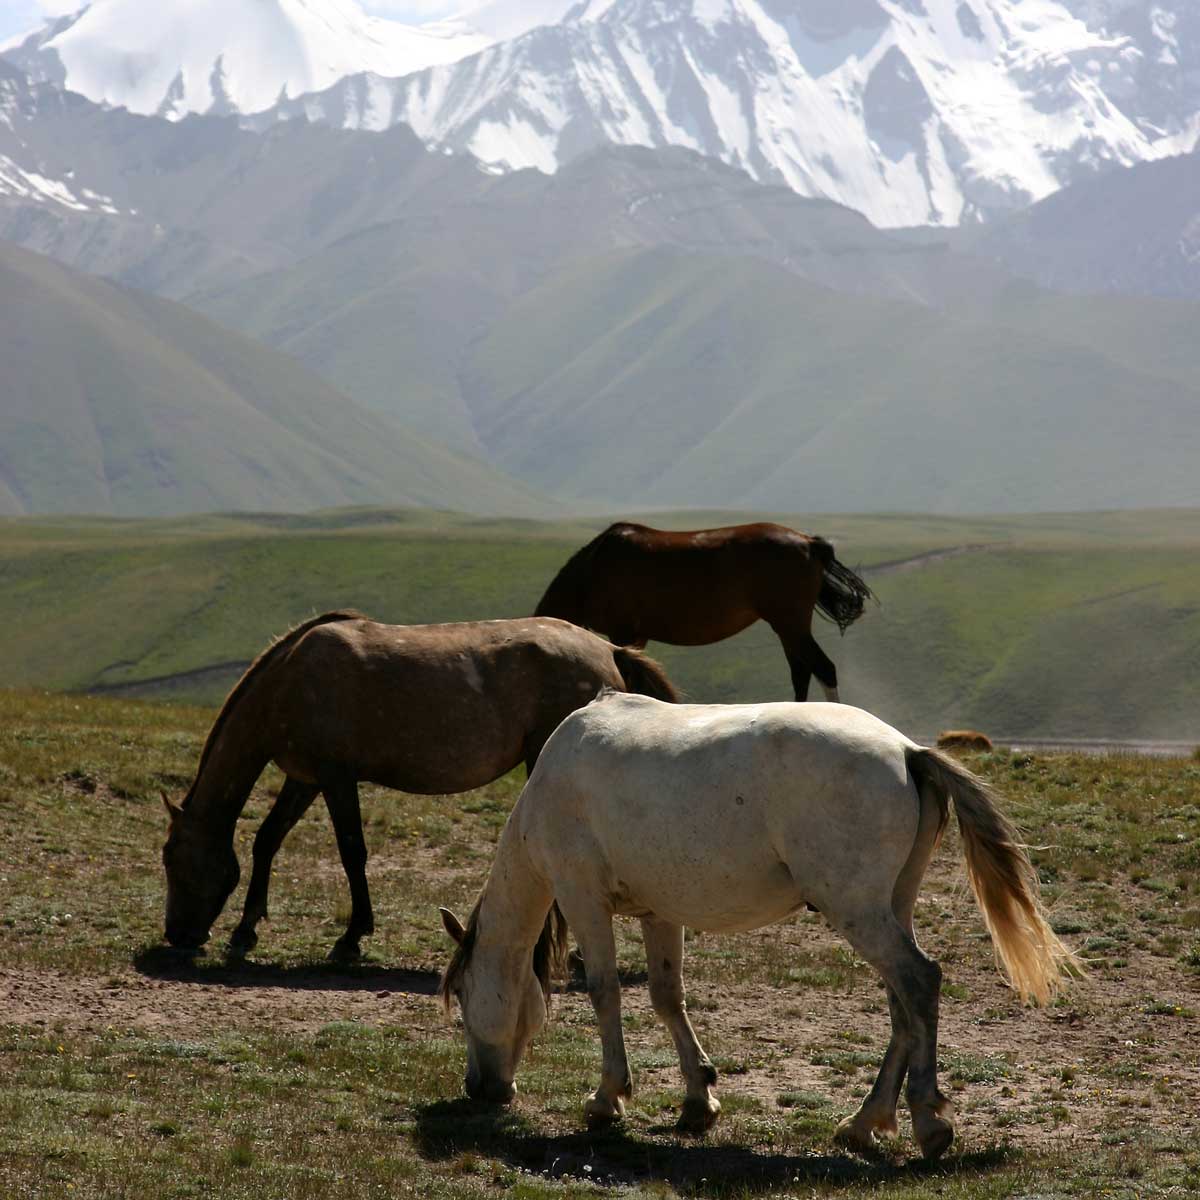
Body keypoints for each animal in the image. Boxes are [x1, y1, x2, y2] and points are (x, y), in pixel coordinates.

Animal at [162, 614, 676, 960]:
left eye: (173, 861)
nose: (176, 936)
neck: (291, 678)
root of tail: (609, 650)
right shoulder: (304, 779)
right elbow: (268, 840)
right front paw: (245, 930)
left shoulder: (336, 778)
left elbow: (352, 851)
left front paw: (351, 938)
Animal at [441, 696, 1080, 1161]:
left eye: (465, 999)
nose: (480, 1089)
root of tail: (905, 750)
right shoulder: (658, 912)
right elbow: (667, 996)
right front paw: (698, 1101)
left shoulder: (584, 899)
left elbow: (604, 992)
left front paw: (607, 1099)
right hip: (888, 908)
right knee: (904, 1006)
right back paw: (864, 1123)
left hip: (858, 911)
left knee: (919, 982)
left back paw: (928, 1123)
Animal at [535, 518, 873, 700]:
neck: (593, 568)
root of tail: (809, 543)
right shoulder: (638, 637)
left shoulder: (623, 631)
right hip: (789, 628)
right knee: (802, 673)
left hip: (789, 623)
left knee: (823, 669)